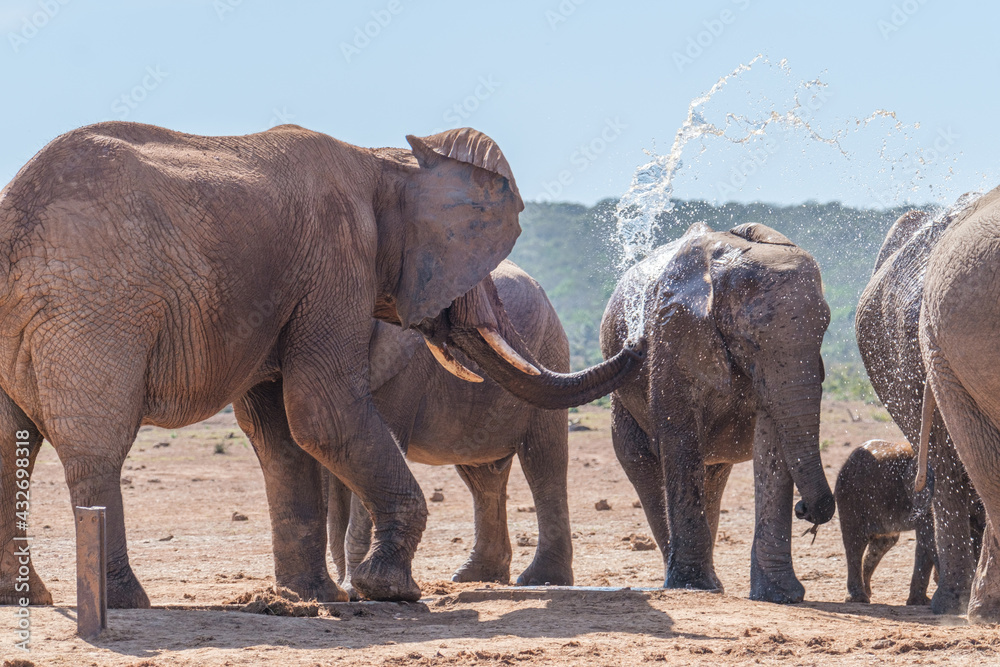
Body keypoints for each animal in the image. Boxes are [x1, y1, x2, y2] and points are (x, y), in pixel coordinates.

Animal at [325, 260, 574, 596]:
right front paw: (344, 590)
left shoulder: (404, 369)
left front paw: (354, 590)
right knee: (482, 476)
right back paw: (475, 576)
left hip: (550, 348)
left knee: (544, 463)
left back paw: (542, 580)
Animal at [600, 221, 835, 604]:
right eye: (749, 338)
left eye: (824, 328)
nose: (805, 510)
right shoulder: (674, 331)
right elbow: (679, 434)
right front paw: (694, 586)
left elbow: (772, 441)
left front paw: (780, 596)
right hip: (621, 395)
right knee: (643, 466)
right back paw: (696, 582)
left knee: (712, 475)